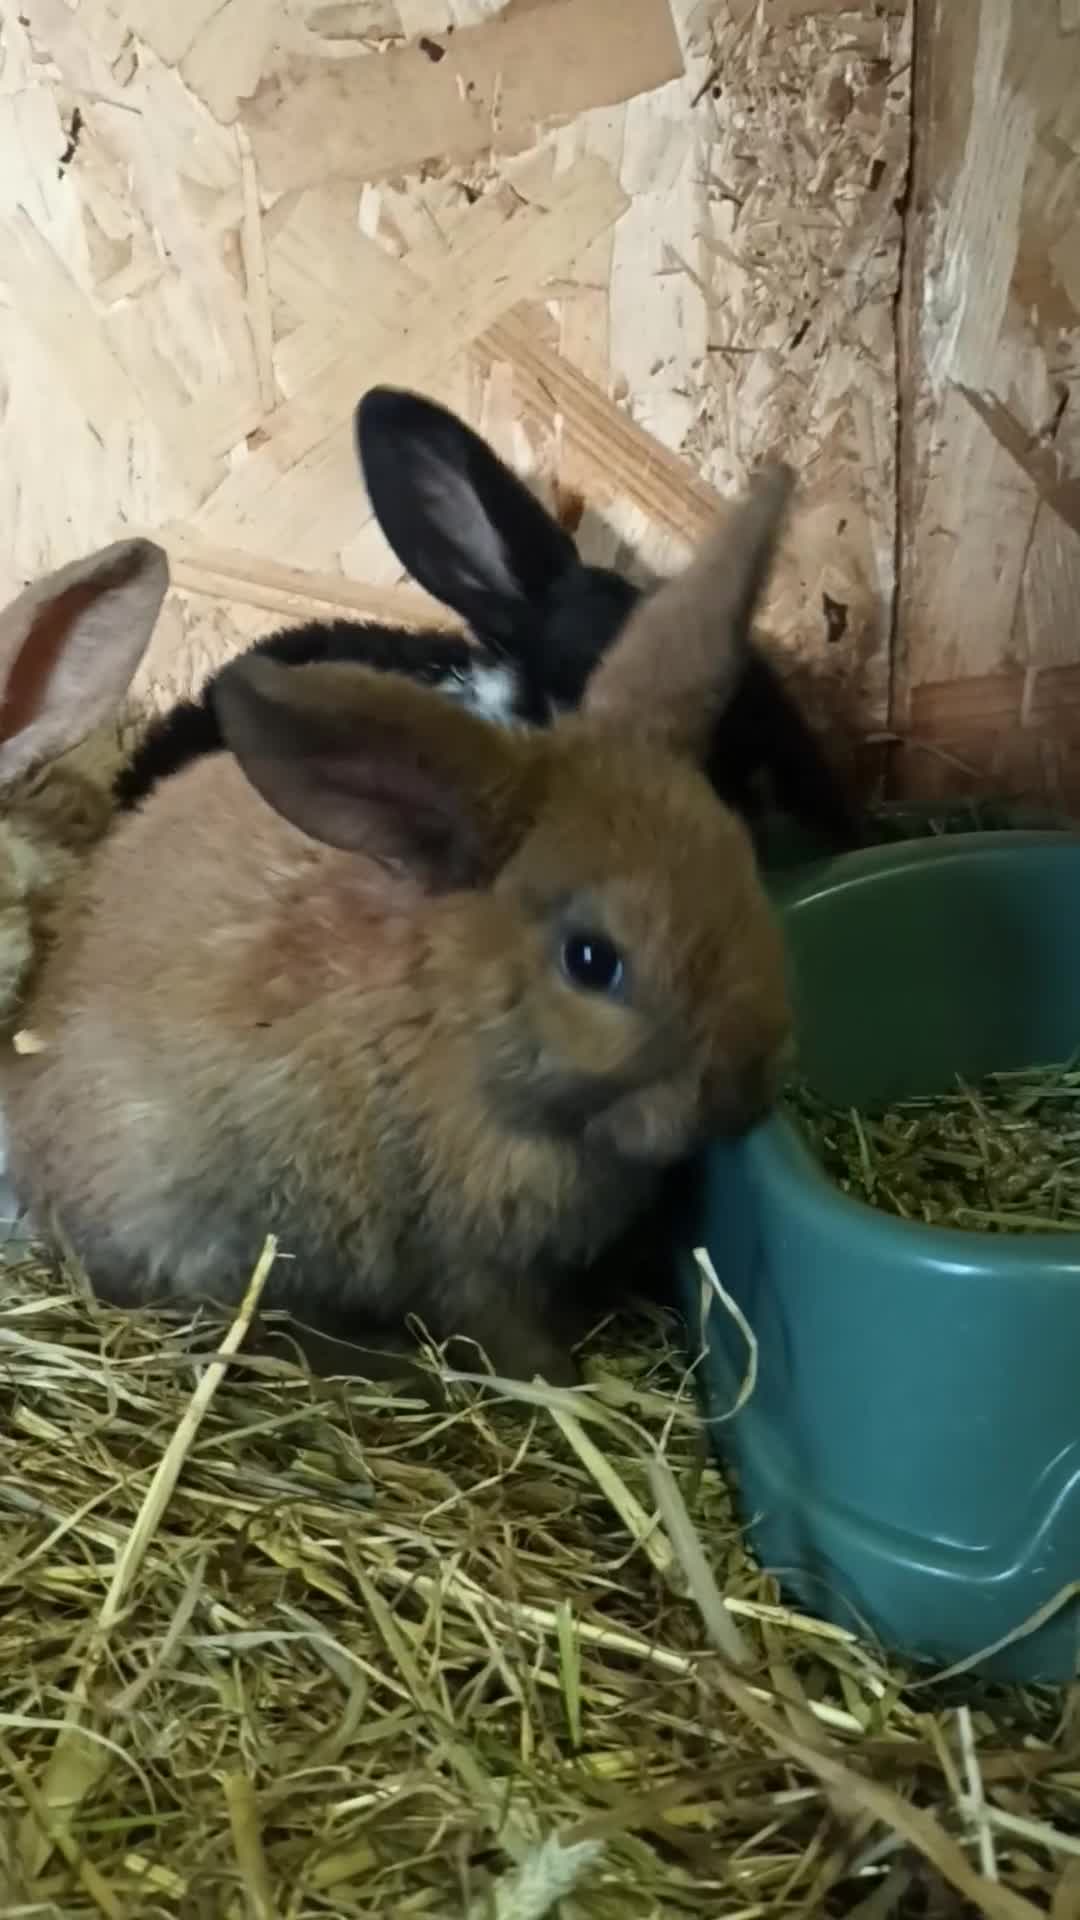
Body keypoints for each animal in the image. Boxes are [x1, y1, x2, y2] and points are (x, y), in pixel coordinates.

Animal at [2, 464, 796, 1389]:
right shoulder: (469, 1262)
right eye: (592, 961)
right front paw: (557, 1383)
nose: (740, 1094)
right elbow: (506, 1333)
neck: (464, 1030)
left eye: (744, 874)